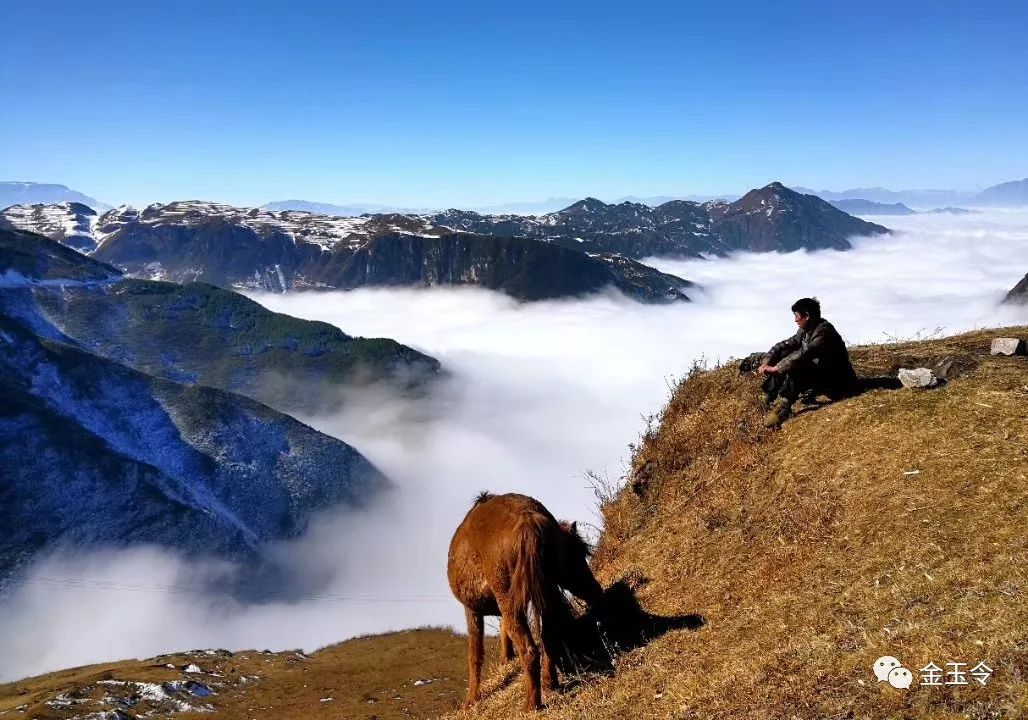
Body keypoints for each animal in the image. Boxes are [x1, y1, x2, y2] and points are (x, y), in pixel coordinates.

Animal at [448, 491, 600, 711]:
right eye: (574, 553)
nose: (596, 590)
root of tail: (528, 518)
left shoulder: (472, 609)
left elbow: (475, 654)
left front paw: (473, 699)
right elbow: (504, 632)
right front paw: (505, 660)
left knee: (529, 650)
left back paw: (531, 704)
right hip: (544, 593)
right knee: (548, 637)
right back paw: (550, 682)